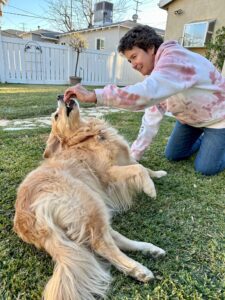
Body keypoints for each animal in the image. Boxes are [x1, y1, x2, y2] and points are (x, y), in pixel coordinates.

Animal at [13, 96, 166, 300]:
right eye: (56, 115)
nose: (60, 96)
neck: (85, 136)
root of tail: (27, 220)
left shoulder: (124, 160)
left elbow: (144, 167)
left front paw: (159, 174)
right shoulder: (108, 174)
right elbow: (138, 168)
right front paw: (150, 188)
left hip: (91, 210)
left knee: (111, 238)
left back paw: (150, 250)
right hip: (89, 202)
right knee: (101, 244)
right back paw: (138, 270)